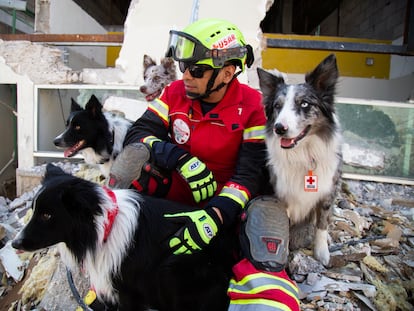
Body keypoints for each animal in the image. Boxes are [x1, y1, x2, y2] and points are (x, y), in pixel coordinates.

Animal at [11, 165, 236, 310]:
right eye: (34, 209)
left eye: (47, 215)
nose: (14, 243)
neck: (103, 231)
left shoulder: (129, 292)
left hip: (174, 268)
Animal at [258, 54, 342, 268]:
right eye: (277, 106)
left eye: (304, 104)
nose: (279, 128)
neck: (303, 154)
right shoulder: (281, 196)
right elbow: (283, 228)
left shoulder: (328, 191)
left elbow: (322, 224)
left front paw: (322, 252)